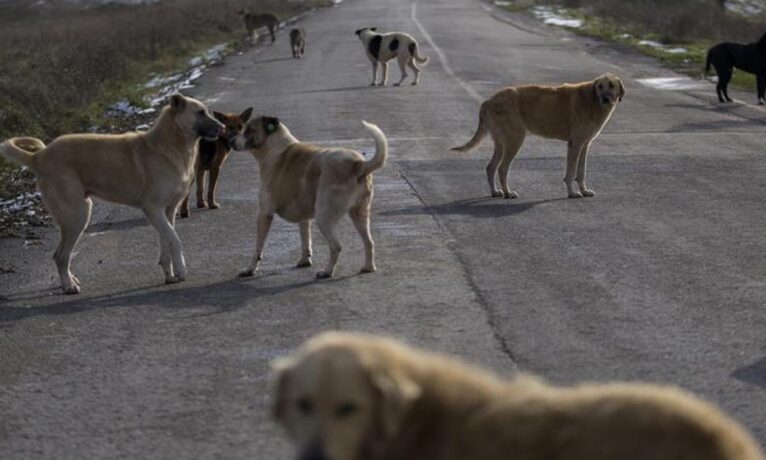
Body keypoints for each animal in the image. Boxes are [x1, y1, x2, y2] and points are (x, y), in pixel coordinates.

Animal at [0, 95, 226, 292]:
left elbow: (167, 241)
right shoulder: (153, 209)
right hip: (77, 215)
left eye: (207, 111)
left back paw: (71, 281)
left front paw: (170, 274)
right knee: (60, 256)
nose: (223, 128)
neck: (170, 144)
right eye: (200, 112)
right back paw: (68, 286)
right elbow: (175, 240)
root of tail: (39, 156)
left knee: (62, 255)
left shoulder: (167, 211)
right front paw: (181, 270)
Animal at [226, 117, 384, 278]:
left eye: (249, 130)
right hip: (360, 214)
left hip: (324, 217)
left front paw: (250, 269)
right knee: (369, 242)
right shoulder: (304, 216)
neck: (274, 147)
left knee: (336, 246)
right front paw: (305, 260)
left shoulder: (264, 214)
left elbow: (258, 247)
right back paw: (368, 267)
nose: (230, 141)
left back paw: (327, 272)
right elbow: (305, 238)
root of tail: (358, 164)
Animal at [452, 73, 628, 199]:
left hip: (502, 143)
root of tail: (489, 100)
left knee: (490, 168)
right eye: (600, 86)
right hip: (514, 141)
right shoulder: (575, 144)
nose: (605, 99)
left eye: (611, 86)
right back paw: (508, 193)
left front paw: (584, 191)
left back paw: (495, 192)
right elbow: (571, 172)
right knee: (502, 168)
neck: (592, 100)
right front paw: (572, 193)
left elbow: (581, 172)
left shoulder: (584, 145)